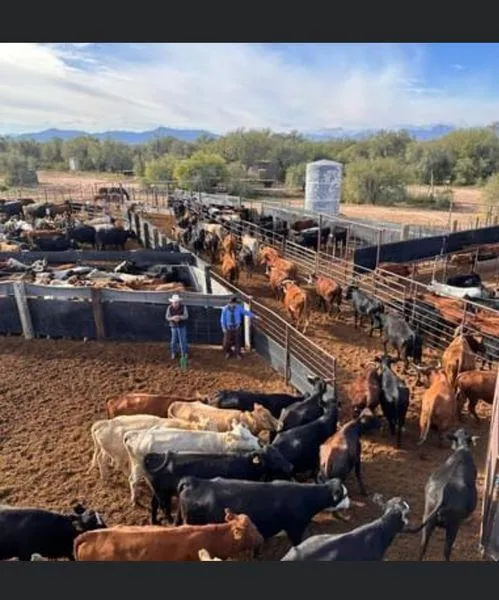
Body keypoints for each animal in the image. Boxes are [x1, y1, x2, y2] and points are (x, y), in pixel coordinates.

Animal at [123, 422, 261, 505]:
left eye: (250, 433)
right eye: (246, 437)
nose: (259, 441)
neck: (218, 442)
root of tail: (139, 434)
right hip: (138, 466)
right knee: (133, 481)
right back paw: (134, 501)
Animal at [144, 447, 294, 524]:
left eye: (279, 453)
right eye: (273, 457)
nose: (290, 466)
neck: (245, 463)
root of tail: (157, 455)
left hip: (157, 492)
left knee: (154, 505)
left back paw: (154, 521)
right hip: (163, 494)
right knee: (164, 508)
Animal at [405, 428, 478, 561]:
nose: (462, 429)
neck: (462, 448)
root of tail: (442, 495)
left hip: (427, 520)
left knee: (422, 547)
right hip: (453, 526)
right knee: (446, 550)